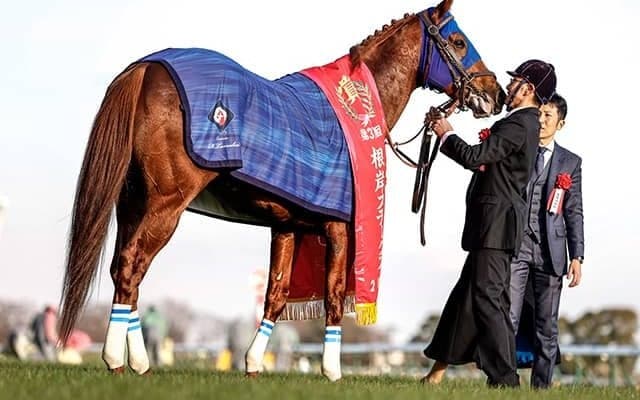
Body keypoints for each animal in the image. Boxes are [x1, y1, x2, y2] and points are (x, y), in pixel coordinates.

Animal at [59, 0, 505, 380]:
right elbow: (333, 294)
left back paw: (138, 362)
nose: (494, 94)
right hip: (165, 204)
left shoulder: (289, 226)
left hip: (132, 203)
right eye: (459, 41)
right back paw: (118, 360)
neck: (352, 113)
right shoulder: (340, 227)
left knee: (121, 268)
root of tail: (147, 68)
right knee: (132, 265)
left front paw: (254, 364)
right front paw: (332, 371)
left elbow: (276, 292)